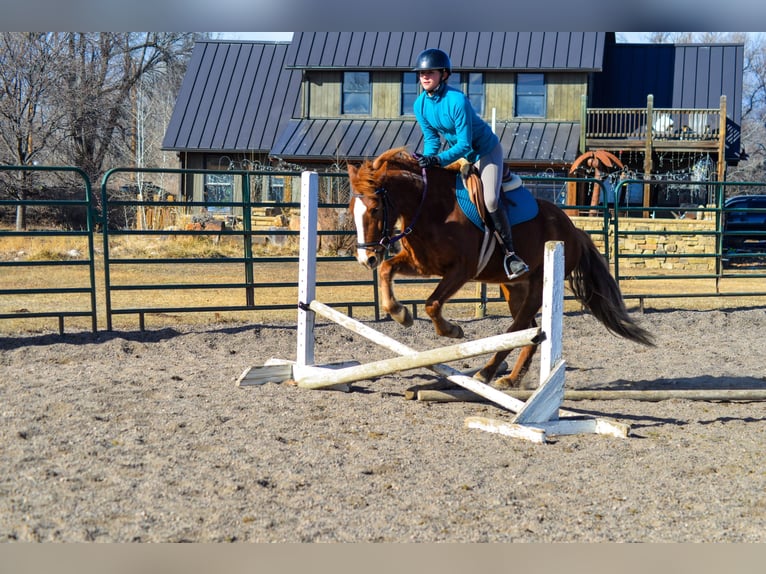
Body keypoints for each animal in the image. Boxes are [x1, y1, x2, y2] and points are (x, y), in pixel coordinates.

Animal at [347, 147, 654, 389]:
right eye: (352, 209)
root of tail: (574, 231)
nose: (365, 259)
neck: (430, 207)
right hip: (514, 289)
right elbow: (387, 270)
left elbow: (432, 304)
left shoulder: (461, 270)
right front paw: (400, 314)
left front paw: (453, 331)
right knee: (531, 332)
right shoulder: (421, 264)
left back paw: (486, 373)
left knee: (519, 329)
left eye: (375, 209)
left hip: (537, 286)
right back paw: (511, 378)